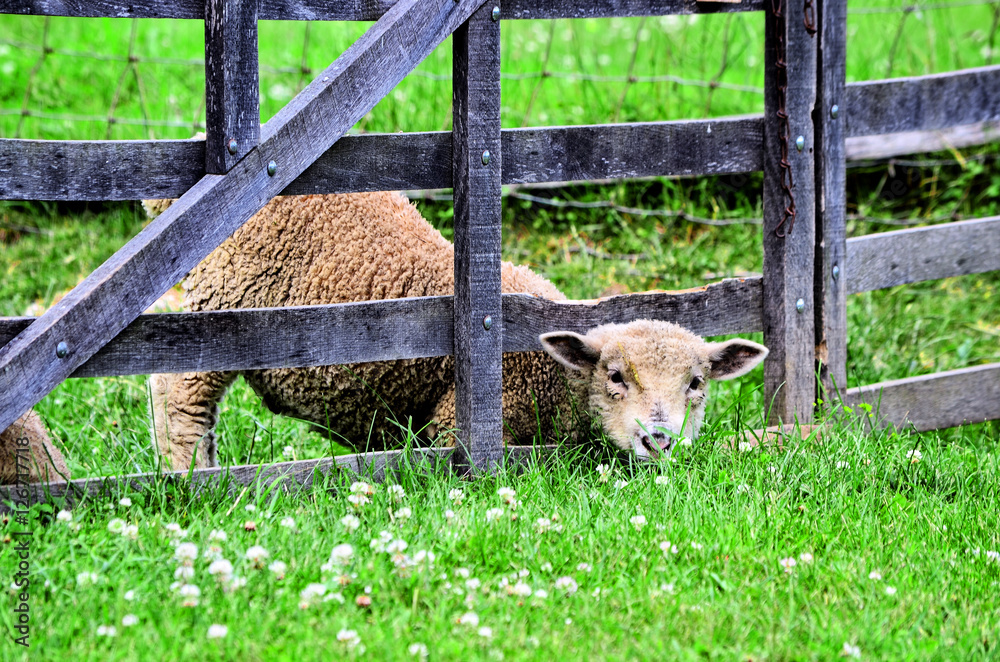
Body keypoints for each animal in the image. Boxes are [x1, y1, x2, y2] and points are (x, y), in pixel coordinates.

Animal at [145, 191, 768, 470]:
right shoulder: (455, 426)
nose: (658, 438)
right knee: (178, 395)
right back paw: (191, 476)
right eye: (614, 376)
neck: (547, 374)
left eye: (697, 384)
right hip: (221, 314)